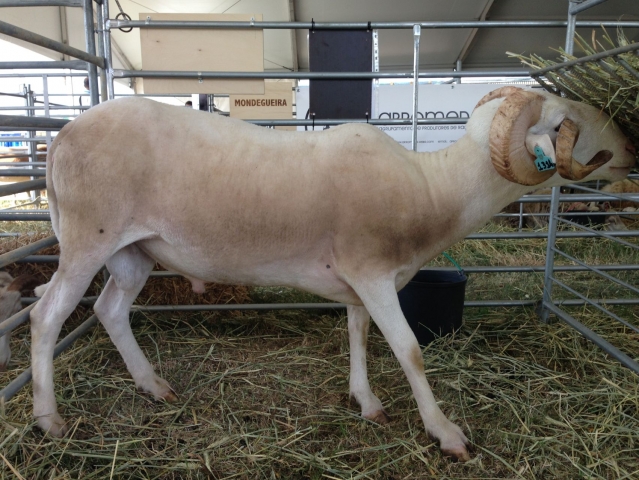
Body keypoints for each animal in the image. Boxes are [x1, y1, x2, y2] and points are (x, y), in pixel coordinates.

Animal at [28, 87, 636, 462]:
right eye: (560, 124)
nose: (628, 144)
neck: (432, 187)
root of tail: (61, 136)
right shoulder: (374, 273)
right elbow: (409, 350)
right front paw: (445, 433)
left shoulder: (359, 278)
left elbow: (358, 334)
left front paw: (365, 402)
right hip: (87, 238)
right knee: (45, 316)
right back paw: (48, 420)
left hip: (133, 251)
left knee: (110, 310)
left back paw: (154, 387)